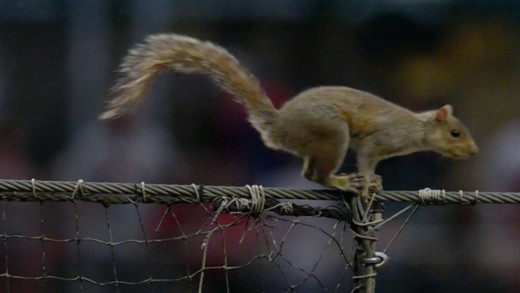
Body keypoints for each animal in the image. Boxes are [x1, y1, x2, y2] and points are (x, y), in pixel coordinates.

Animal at [100, 33, 480, 198]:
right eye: (455, 133)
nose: (474, 152)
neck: (415, 128)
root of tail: (278, 126)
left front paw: (377, 180)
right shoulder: (380, 139)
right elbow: (368, 157)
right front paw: (371, 180)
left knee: (308, 172)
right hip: (332, 135)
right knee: (315, 174)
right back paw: (342, 182)